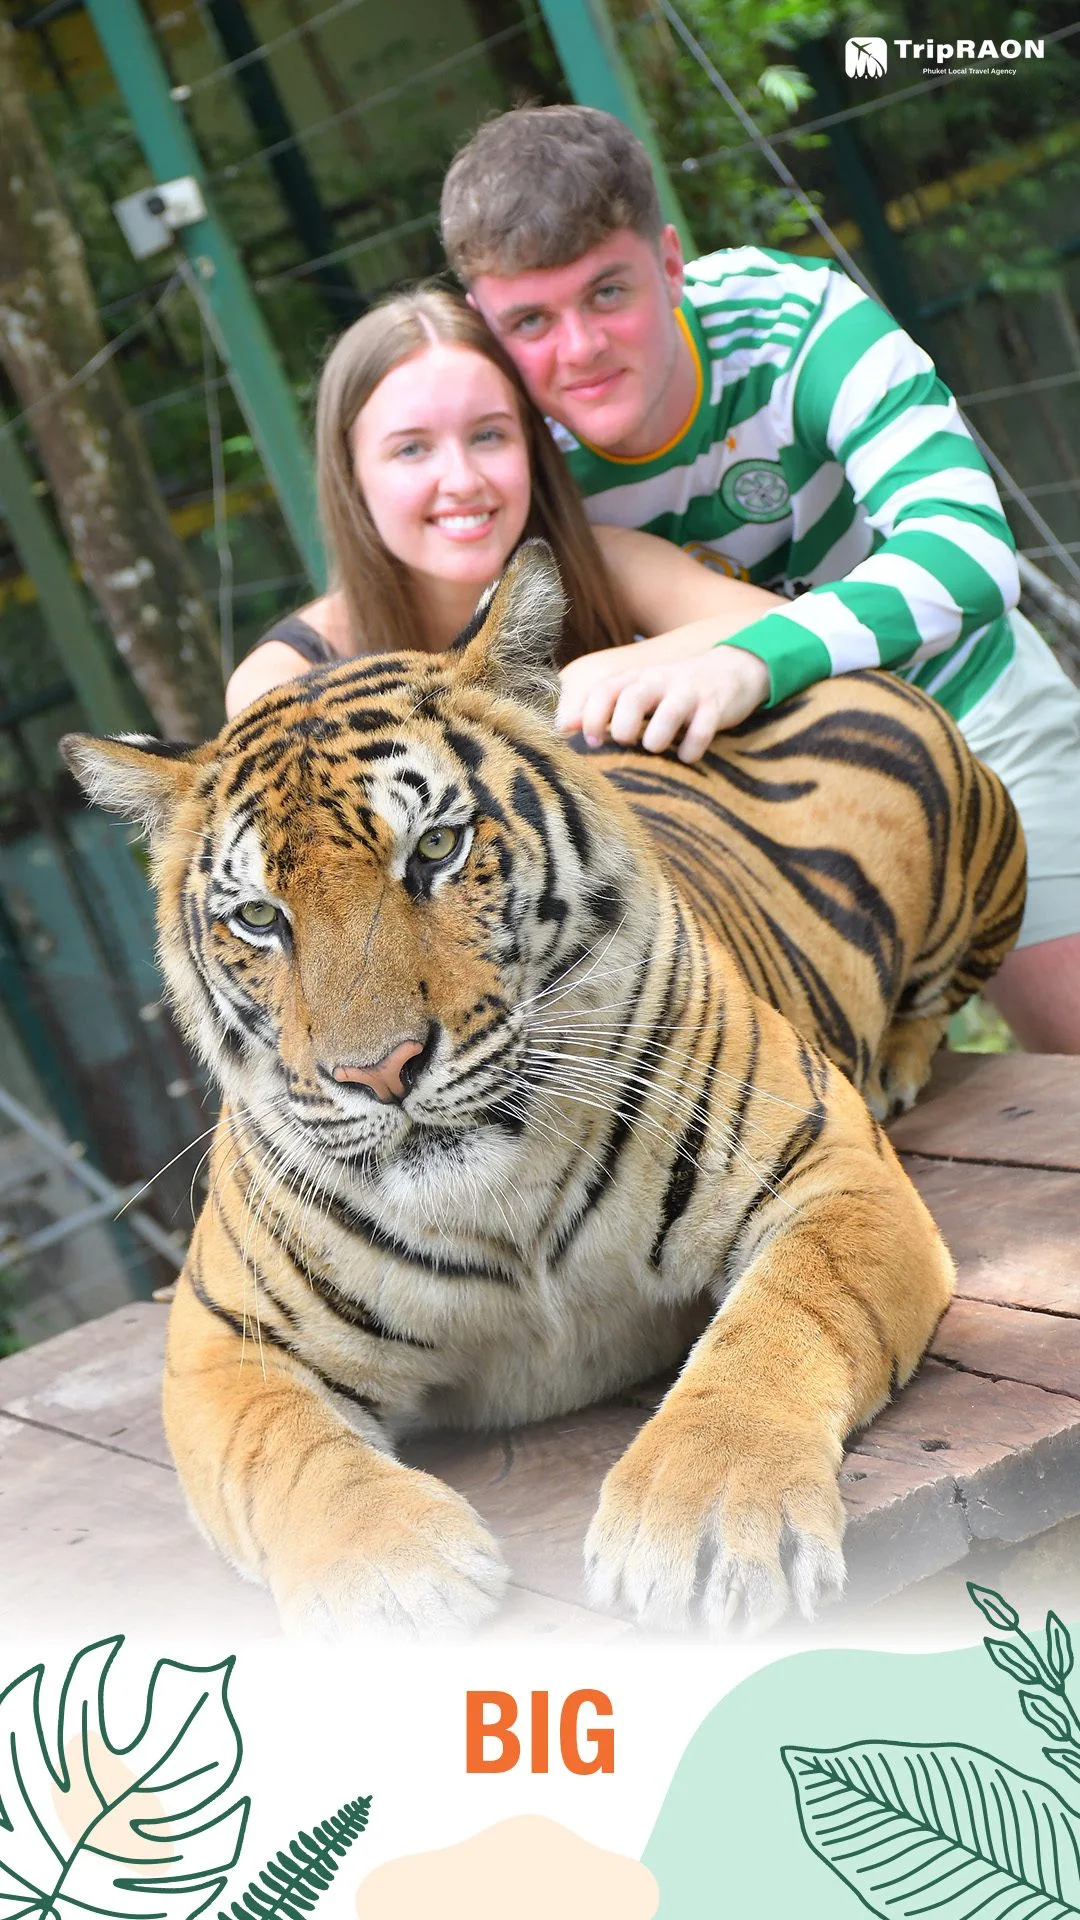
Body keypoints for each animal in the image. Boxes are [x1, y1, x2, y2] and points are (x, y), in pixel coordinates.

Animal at [62, 540, 1025, 1638]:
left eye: (436, 849)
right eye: (260, 919)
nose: (379, 1071)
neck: (500, 1201)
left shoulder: (829, 1171)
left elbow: (775, 1330)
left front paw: (702, 1514)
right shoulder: (224, 1339)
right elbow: (285, 1453)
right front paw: (384, 1575)